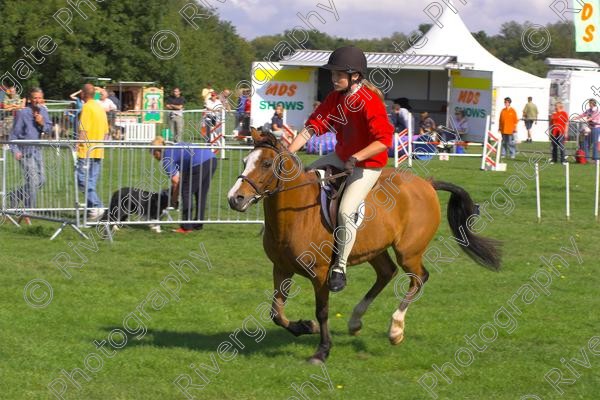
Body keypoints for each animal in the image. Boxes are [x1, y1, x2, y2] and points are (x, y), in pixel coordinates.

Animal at [227, 130, 500, 364]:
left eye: (266, 164)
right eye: (245, 161)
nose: (235, 199)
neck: (295, 214)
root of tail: (428, 184)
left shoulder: (320, 274)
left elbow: (322, 311)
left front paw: (322, 351)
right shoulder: (281, 268)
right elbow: (276, 312)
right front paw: (304, 326)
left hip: (408, 252)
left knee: (419, 278)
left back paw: (395, 329)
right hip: (375, 250)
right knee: (387, 273)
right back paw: (355, 321)